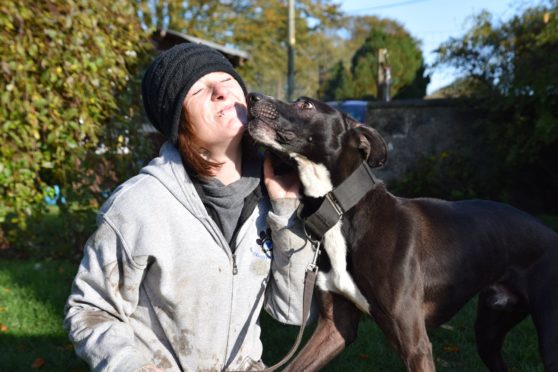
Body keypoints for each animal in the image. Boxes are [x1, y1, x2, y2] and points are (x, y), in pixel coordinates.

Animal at [248, 93, 558, 372]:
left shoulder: (414, 344)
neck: (341, 210)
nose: (252, 97)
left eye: (306, 104)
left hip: (548, 339)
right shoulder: (335, 328)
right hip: (489, 332)